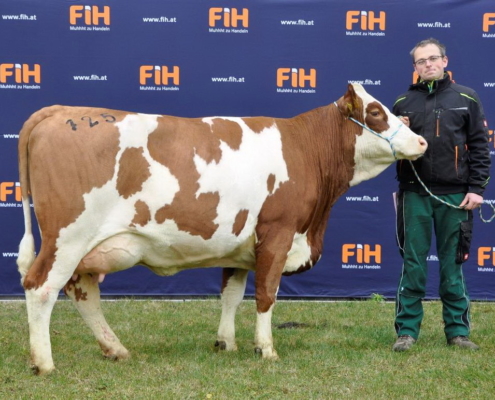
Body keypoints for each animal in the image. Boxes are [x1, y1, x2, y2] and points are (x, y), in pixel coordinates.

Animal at [15, 83, 426, 374]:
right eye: (375, 112)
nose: (421, 140)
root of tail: (61, 111)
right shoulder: (278, 233)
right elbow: (266, 295)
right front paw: (266, 348)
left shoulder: (240, 246)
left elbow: (231, 294)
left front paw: (226, 343)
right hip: (68, 236)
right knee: (41, 287)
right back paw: (44, 362)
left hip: (83, 246)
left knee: (82, 292)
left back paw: (115, 349)